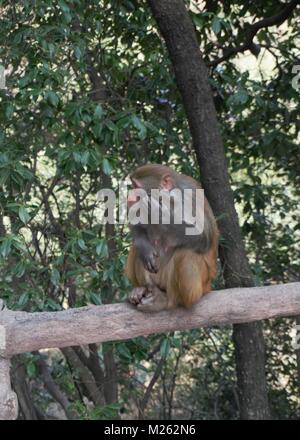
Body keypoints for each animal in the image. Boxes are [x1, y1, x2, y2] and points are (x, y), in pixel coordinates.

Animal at [125, 163, 219, 312]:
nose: (130, 196)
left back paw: (168, 300)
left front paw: (159, 214)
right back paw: (141, 289)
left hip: (200, 287)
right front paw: (144, 248)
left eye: (136, 186)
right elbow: (138, 227)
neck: (169, 199)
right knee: (136, 247)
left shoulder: (191, 193)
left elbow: (204, 236)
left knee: (185, 252)